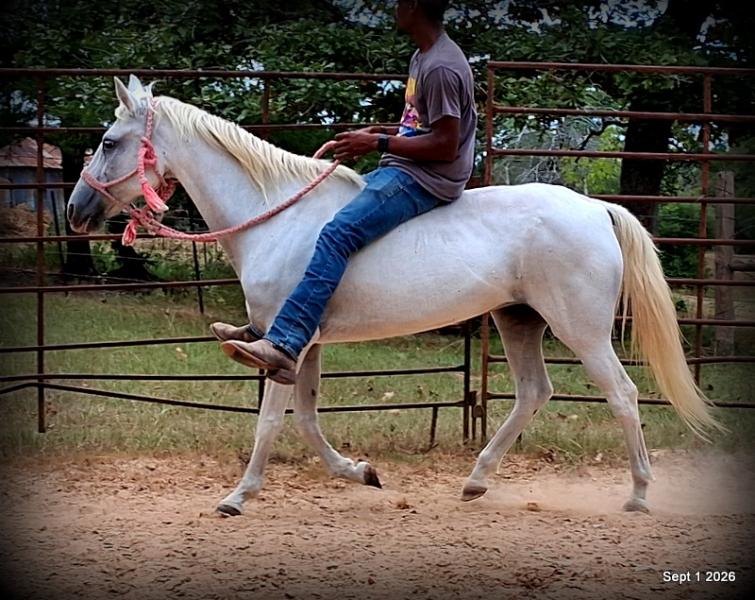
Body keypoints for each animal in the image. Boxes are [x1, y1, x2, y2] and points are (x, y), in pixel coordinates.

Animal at [67, 75, 720, 516]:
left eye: (108, 141)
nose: (75, 211)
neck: (276, 216)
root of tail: (596, 208)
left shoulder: (283, 342)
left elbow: (271, 423)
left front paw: (237, 497)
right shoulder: (305, 347)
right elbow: (307, 421)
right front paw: (361, 473)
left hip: (578, 329)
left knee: (623, 395)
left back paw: (638, 494)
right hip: (517, 321)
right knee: (535, 392)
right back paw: (476, 481)